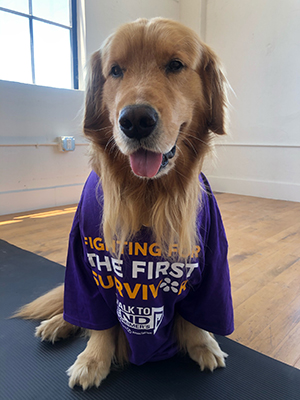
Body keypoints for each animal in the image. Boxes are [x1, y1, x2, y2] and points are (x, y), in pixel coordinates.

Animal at [14, 17, 234, 390]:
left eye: (175, 65)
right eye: (115, 70)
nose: (135, 121)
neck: (146, 193)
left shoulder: (212, 262)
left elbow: (197, 315)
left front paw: (202, 343)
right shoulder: (87, 263)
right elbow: (100, 322)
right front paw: (93, 360)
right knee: (75, 309)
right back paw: (58, 322)